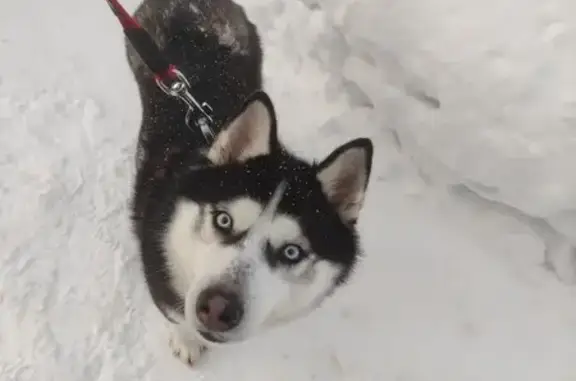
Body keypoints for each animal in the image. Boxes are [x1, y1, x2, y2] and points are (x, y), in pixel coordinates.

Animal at [126, 0, 374, 366]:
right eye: (223, 220)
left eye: (291, 252)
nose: (218, 308)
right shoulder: (157, 266)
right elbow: (173, 312)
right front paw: (185, 340)